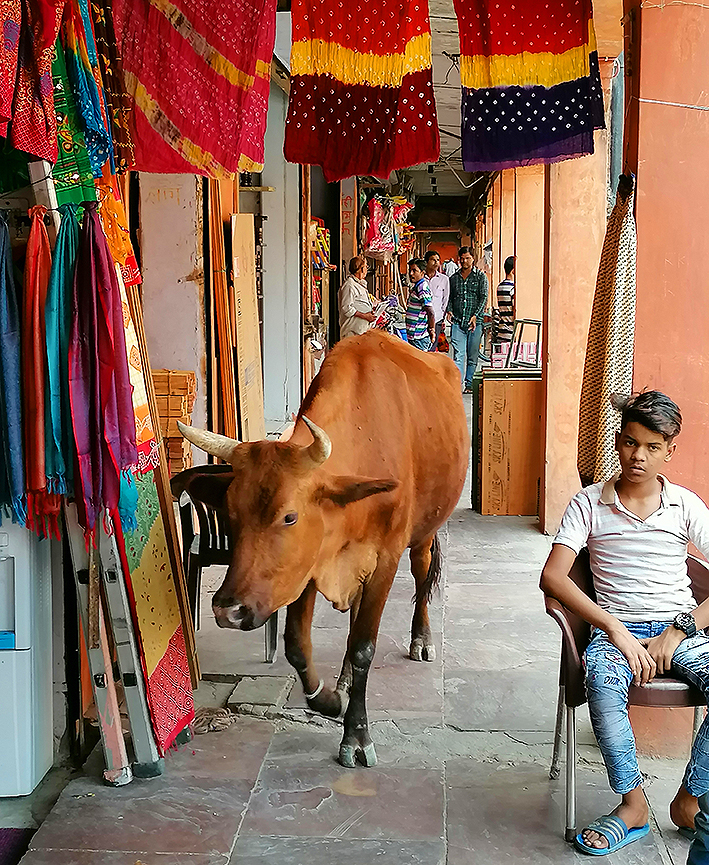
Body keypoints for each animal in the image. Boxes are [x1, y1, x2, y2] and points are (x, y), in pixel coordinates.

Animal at [172, 330, 468, 767]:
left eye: (290, 517)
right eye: (230, 514)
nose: (229, 610)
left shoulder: (384, 560)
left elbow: (364, 647)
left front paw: (356, 735)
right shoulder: (308, 566)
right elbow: (298, 645)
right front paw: (329, 699)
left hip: (425, 533)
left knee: (421, 572)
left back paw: (421, 638)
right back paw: (343, 679)